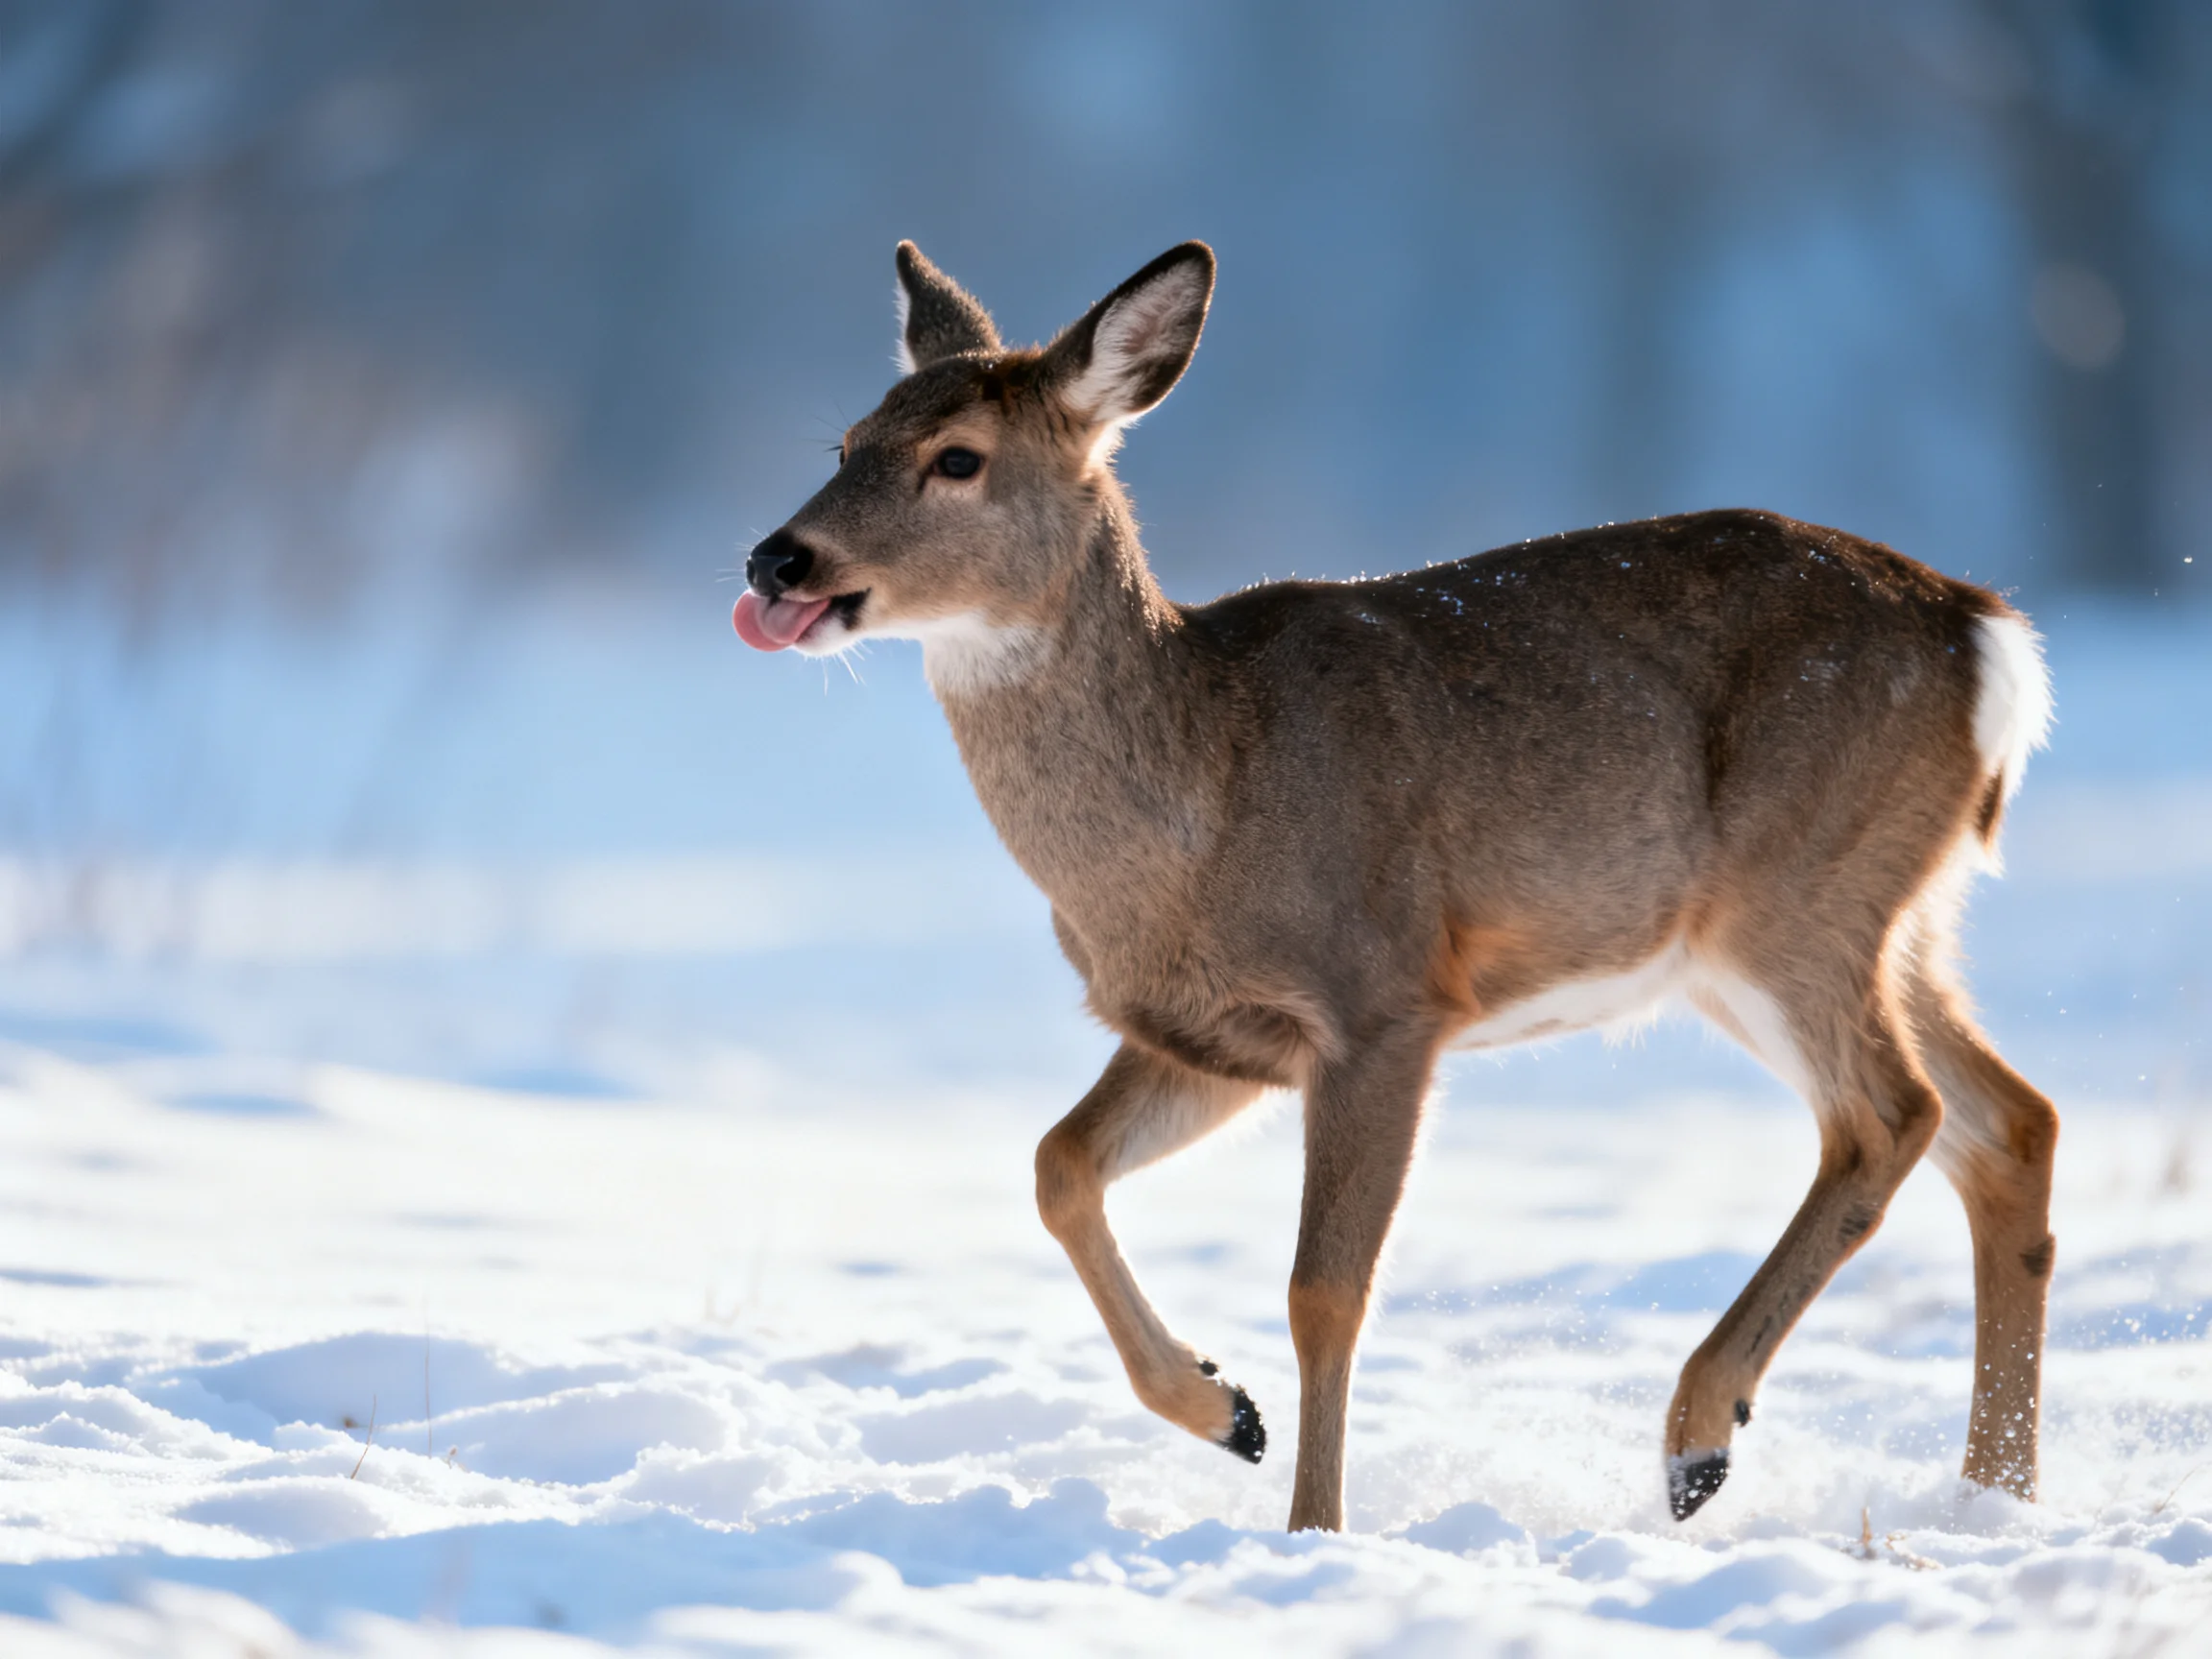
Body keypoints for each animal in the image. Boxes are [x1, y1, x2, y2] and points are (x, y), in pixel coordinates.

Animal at [731, 240, 2059, 1534]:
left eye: (958, 457)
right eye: (846, 443)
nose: (777, 556)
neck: (1207, 798)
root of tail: (1988, 633)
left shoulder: (1383, 997)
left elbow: (1324, 1289)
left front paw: (1314, 1531)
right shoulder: (1213, 1036)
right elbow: (1059, 1166)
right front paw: (1226, 1410)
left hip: (1794, 897)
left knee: (1892, 1117)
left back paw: (1701, 1437)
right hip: (1876, 918)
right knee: (2012, 1124)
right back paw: (1994, 1496)